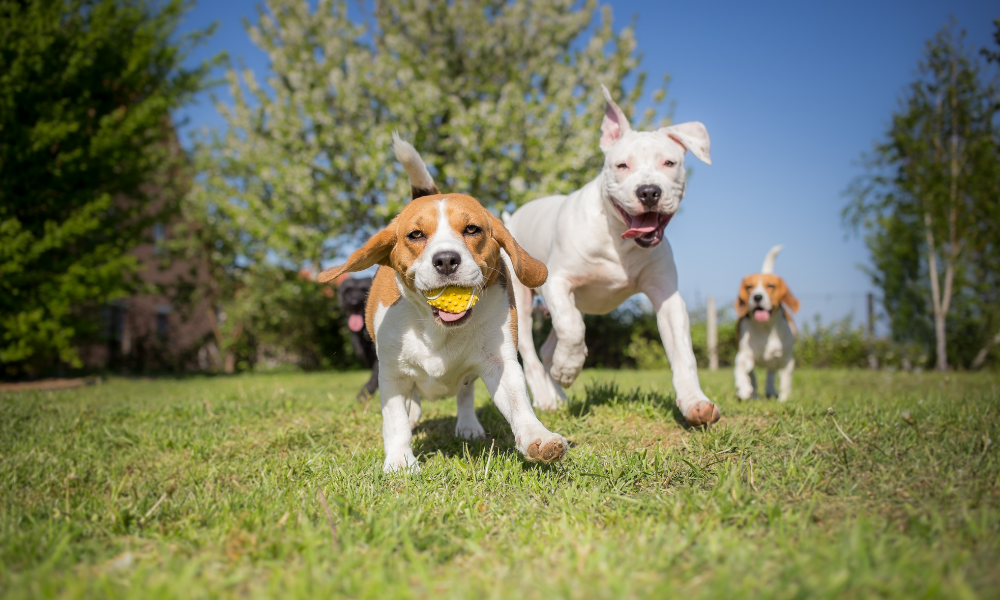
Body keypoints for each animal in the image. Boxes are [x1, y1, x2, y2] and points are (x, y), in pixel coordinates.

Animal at [316, 138, 568, 472]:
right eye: (415, 235)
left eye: (472, 229)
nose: (447, 260)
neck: (437, 328)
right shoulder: (391, 373)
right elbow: (395, 419)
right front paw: (400, 461)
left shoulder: (499, 361)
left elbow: (518, 404)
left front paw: (538, 438)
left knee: (465, 393)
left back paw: (468, 425)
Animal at [508, 88, 720, 426]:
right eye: (622, 165)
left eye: (669, 162)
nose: (649, 191)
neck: (620, 240)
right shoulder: (558, 281)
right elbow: (572, 328)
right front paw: (569, 368)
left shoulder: (667, 297)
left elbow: (683, 354)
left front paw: (694, 402)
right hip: (523, 298)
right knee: (531, 350)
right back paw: (546, 398)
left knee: (548, 347)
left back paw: (560, 394)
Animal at [732, 244, 800, 404]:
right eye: (749, 287)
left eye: (771, 286)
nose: (757, 297)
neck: (766, 328)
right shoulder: (744, 354)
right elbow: (740, 370)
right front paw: (744, 388)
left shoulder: (787, 360)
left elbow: (785, 381)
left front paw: (783, 400)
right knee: (753, 376)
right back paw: (753, 394)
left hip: (775, 359)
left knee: (771, 373)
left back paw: (770, 391)